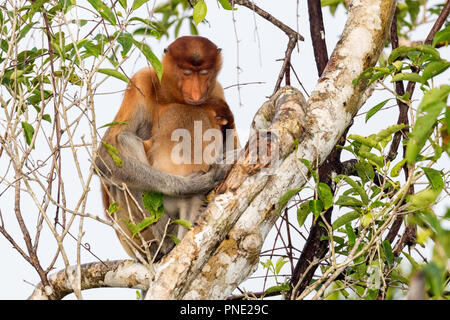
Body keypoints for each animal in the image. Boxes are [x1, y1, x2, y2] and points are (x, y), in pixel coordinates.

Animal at [96, 35, 239, 260]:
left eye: (204, 74)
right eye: (186, 73)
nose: (196, 94)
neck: (170, 94)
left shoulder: (216, 89)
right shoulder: (141, 82)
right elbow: (105, 155)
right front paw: (193, 185)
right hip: (135, 238)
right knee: (125, 142)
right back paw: (165, 242)